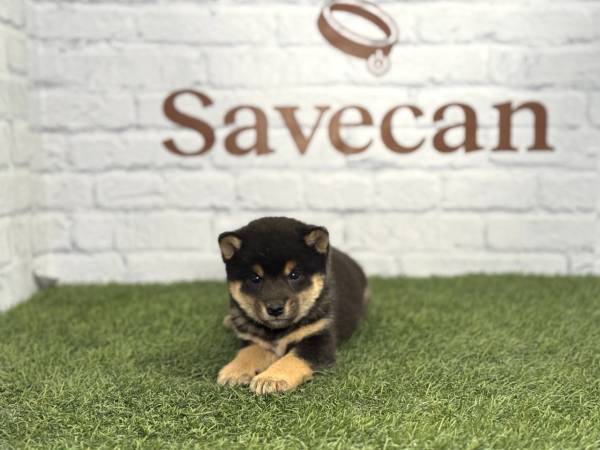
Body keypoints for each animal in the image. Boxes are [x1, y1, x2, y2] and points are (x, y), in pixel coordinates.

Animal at [216, 216, 368, 394]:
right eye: (255, 278)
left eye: (294, 275)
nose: (275, 309)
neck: (277, 332)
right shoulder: (254, 340)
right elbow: (248, 353)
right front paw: (235, 371)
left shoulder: (319, 340)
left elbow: (292, 358)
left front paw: (271, 378)